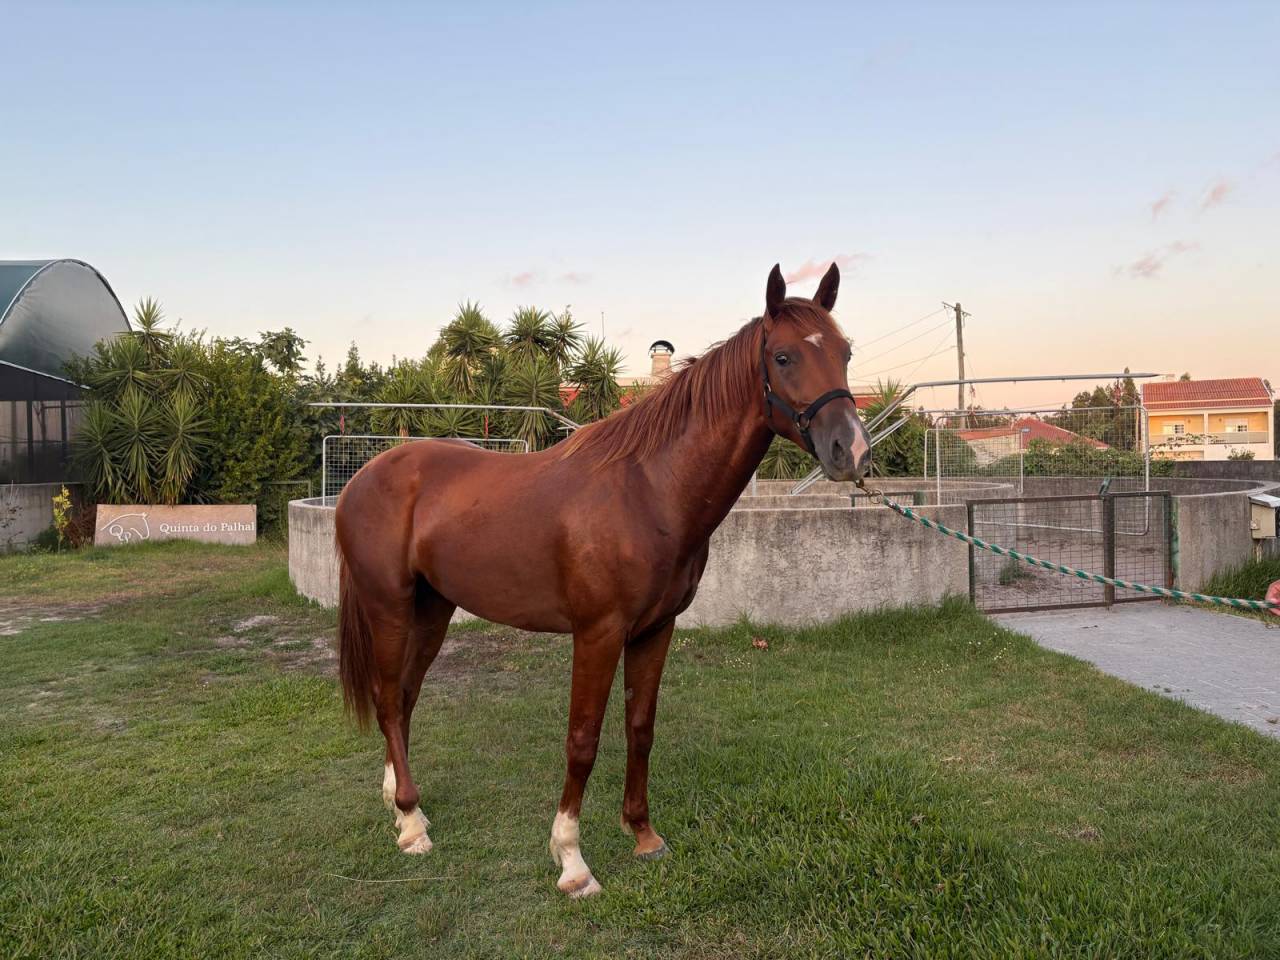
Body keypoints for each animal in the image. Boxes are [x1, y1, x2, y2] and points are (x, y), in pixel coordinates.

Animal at [334, 263, 872, 897]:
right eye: (784, 357)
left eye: (845, 351)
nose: (851, 450)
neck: (647, 490)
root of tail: (362, 478)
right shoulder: (598, 633)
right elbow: (583, 740)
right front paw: (571, 860)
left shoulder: (655, 630)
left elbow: (640, 727)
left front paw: (643, 835)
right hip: (389, 607)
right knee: (389, 700)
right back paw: (413, 825)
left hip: (433, 610)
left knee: (405, 696)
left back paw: (400, 802)